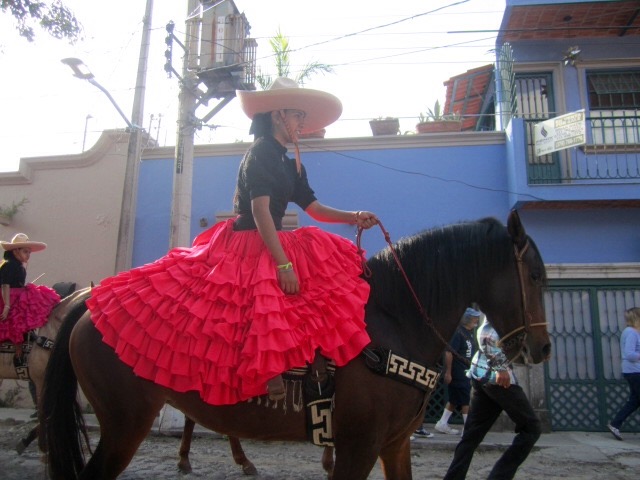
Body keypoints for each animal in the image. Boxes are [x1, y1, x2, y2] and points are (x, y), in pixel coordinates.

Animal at [40, 213, 552, 480]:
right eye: (535, 276)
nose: (543, 348)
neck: (394, 320)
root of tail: (90, 303)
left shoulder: (394, 445)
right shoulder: (358, 447)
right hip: (124, 424)